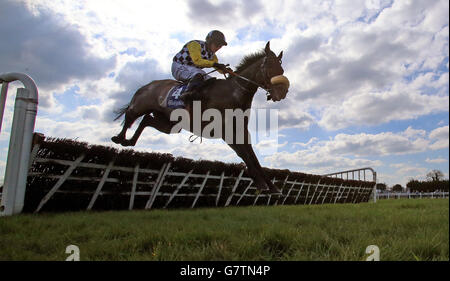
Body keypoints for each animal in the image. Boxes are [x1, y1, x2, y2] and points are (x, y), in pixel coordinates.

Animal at [110, 41, 290, 194]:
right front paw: (261, 184)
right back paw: (119, 138)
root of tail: (147, 85)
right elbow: (246, 156)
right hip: (141, 105)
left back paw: (129, 141)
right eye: (269, 66)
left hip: (169, 124)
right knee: (131, 116)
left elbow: (253, 158)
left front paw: (271, 187)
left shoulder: (241, 131)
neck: (233, 93)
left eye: (281, 70)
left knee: (146, 120)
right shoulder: (226, 132)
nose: (282, 92)